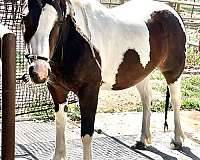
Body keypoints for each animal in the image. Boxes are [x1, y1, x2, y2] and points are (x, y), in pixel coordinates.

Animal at [23, 0, 186, 159]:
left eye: (59, 21)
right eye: (24, 18)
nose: (39, 71)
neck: (77, 41)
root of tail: (171, 11)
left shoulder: (89, 92)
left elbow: (86, 134)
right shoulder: (57, 90)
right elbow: (60, 124)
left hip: (172, 73)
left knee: (175, 100)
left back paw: (177, 140)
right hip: (140, 74)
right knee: (146, 99)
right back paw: (142, 140)